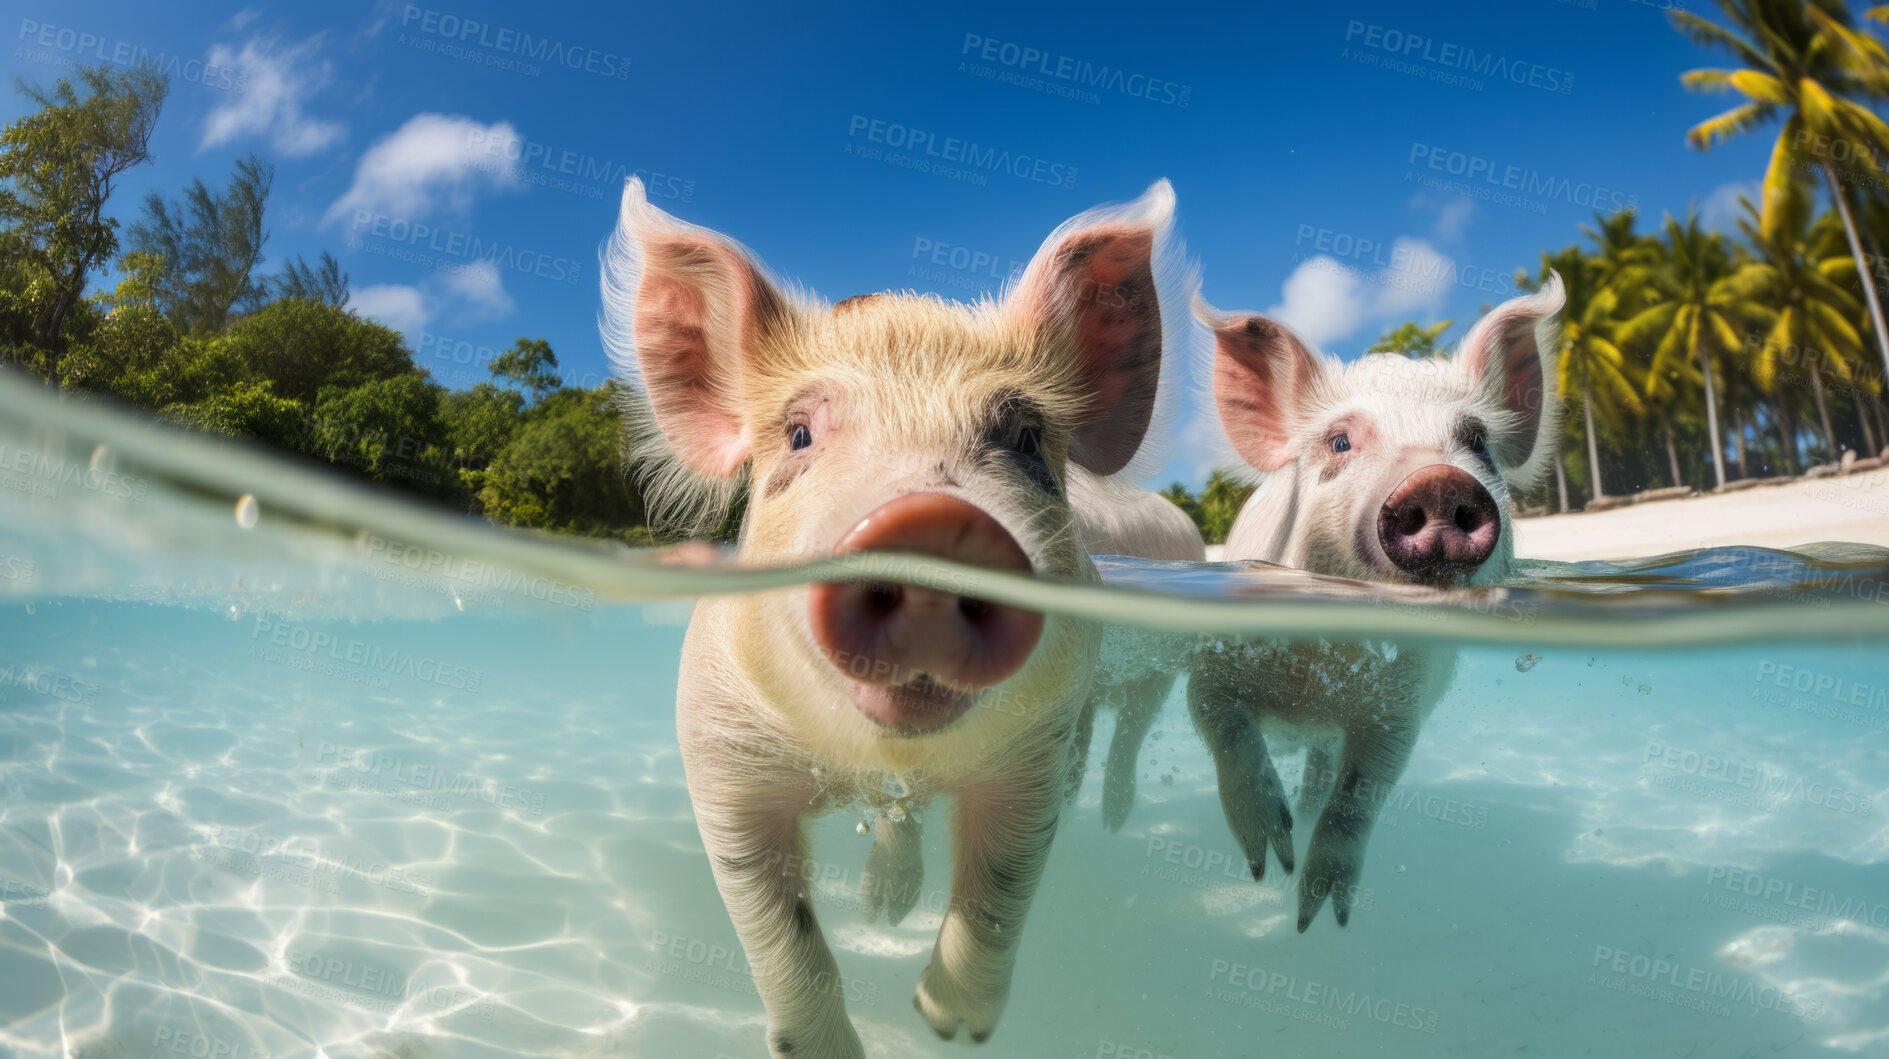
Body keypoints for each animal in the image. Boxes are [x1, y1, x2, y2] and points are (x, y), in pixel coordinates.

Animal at [600, 173, 1193, 1049]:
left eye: (1025, 437)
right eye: (799, 434)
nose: (931, 521)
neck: (882, 757)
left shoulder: (1036, 750)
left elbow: (1000, 888)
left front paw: (950, 1027)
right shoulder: (719, 753)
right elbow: (776, 926)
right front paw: (828, 1050)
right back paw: (883, 908)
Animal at [1178, 277, 1564, 928]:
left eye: (1477, 442)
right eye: (1340, 441)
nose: (1439, 482)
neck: (1314, 684)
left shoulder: (1401, 708)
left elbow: (1363, 788)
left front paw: (1317, 915)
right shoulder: (1213, 660)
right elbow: (1221, 722)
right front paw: (1267, 862)